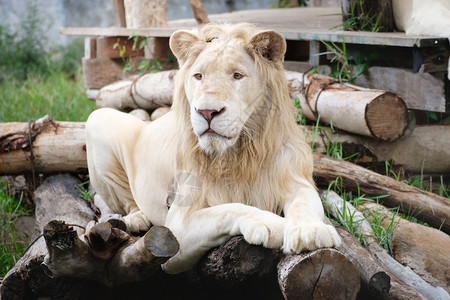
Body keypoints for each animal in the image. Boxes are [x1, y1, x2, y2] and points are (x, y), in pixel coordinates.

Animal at [86, 23, 342, 274]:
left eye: (237, 75)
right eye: (198, 76)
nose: (207, 112)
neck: (240, 153)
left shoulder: (295, 179)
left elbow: (305, 203)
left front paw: (310, 232)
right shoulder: (177, 226)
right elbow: (228, 209)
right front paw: (271, 224)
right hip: (98, 118)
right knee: (126, 200)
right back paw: (137, 217)